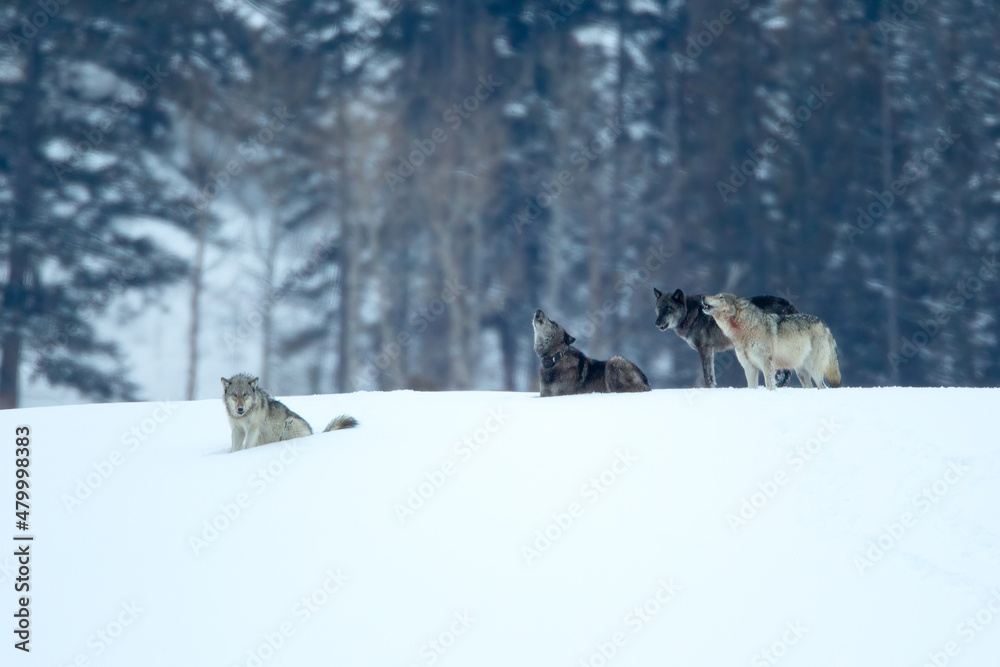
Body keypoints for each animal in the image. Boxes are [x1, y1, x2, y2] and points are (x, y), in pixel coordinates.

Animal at [222, 373, 358, 453]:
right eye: (234, 395)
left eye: (245, 395)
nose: (240, 409)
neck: (243, 416)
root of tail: (312, 433)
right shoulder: (237, 429)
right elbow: (235, 449)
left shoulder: (253, 430)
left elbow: (247, 447)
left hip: (289, 423)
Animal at [653, 287, 798, 388]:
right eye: (659, 308)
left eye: (669, 308)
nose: (656, 323)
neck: (691, 314)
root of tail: (790, 304)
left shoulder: (705, 350)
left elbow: (708, 376)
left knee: (786, 372)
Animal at [700, 294, 841, 389]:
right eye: (717, 295)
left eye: (720, 297)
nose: (703, 296)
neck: (745, 330)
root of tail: (824, 325)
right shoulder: (749, 367)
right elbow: (752, 387)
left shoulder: (767, 365)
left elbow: (770, 386)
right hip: (801, 372)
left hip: (814, 370)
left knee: (823, 387)